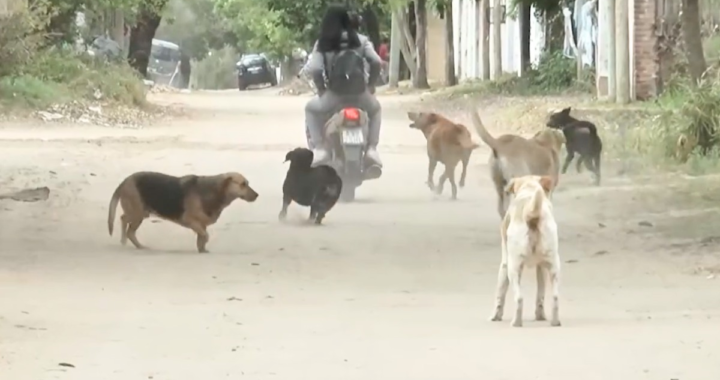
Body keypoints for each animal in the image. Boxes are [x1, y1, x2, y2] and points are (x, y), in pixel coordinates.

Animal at [108, 171, 260, 252]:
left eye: (247, 183)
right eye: (243, 184)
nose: (257, 195)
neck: (214, 190)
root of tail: (125, 181)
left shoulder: (201, 225)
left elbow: (201, 237)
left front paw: (202, 250)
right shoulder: (191, 221)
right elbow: (205, 236)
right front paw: (203, 246)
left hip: (140, 214)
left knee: (128, 228)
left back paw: (137, 245)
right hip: (138, 213)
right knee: (124, 221)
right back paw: (125, 240)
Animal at [490, 175, 564, 326]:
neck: (529, 188)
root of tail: (532, 214)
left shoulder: (505, 263)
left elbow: (500, 292)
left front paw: (496, 315)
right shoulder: (541, 267)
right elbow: (540, 294)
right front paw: (540, 315)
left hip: (513, 268)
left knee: (519, 298)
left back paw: (516, 322)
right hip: (554, 266)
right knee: (555, 297)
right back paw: (555, 321)